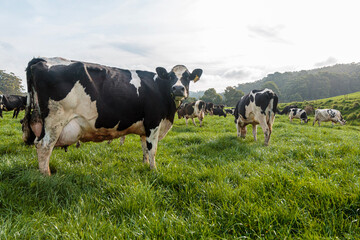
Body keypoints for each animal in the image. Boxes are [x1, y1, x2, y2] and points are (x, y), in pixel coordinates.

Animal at [22, 57, 202, 175]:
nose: (178, 89)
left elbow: (144, 148)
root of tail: (42, 60)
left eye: (187, 77)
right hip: (55, 121)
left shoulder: (145, 128)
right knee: (44, 146)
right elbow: (153, 150)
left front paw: (145, 166)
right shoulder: (153, 122)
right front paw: (154, 171)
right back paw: (46, 176)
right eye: (171, 76)